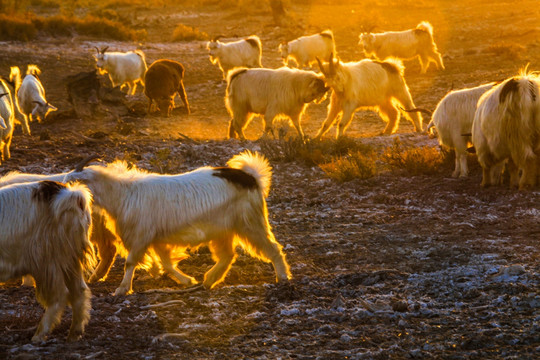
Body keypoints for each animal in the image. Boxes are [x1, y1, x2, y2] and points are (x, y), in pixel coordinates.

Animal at [0, 181, 95, 342]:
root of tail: (72, 195)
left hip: (46, 261)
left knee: (59, 295)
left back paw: (39, 335)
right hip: (69, 258)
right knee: (79, 291)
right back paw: (74, 334)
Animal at [72, 151, 294, 296]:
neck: (124, 193)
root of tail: (250, 177)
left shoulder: (142, 235)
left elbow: (131, 262)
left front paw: (122, 289)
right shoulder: (157, 238)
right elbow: (166, 263)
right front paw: (188, 281)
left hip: (250, 223)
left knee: (272, 248)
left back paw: (283, 278)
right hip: (223, 230)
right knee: (228, 256)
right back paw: (208, 280)